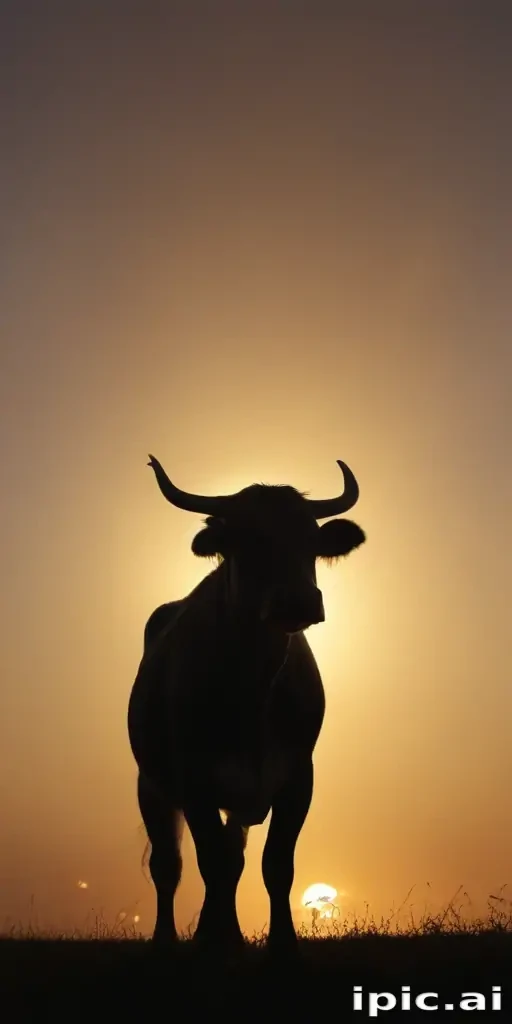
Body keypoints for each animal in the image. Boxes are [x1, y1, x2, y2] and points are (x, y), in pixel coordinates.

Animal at [128, 455, 365, 953]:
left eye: (311, 541)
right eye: (246, 539)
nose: (297, 600)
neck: (253, 693)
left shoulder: (298, 777)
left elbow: (274, 865)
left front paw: (282, 945)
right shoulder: (194, 781)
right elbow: (208, 864)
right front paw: (215, 944)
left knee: (231, 860)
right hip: (150, 786)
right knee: (169, 866)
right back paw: (169, 941)